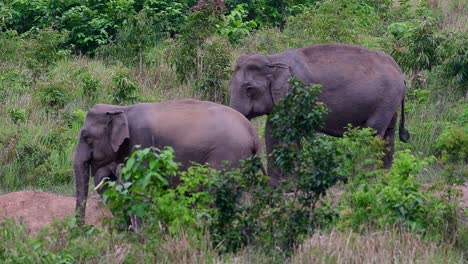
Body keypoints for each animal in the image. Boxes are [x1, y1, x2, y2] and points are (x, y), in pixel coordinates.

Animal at [73, 99, 264, 225]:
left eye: (87, 138)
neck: (121, 109)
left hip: (228, 157)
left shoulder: (142, 144)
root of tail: (253, 132)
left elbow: (139, 187)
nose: (82, 230)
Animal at [229, 43, 410, 187]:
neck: (273, 59)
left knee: (372, 134)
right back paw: (384, 179)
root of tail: (400, 72)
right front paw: (275, 185)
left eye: (249, 89)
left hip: (384, 101)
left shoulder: (297, 94)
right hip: (389, 103)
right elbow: (272, 131)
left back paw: (366, 179)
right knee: (388, 136)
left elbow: (287, 132)